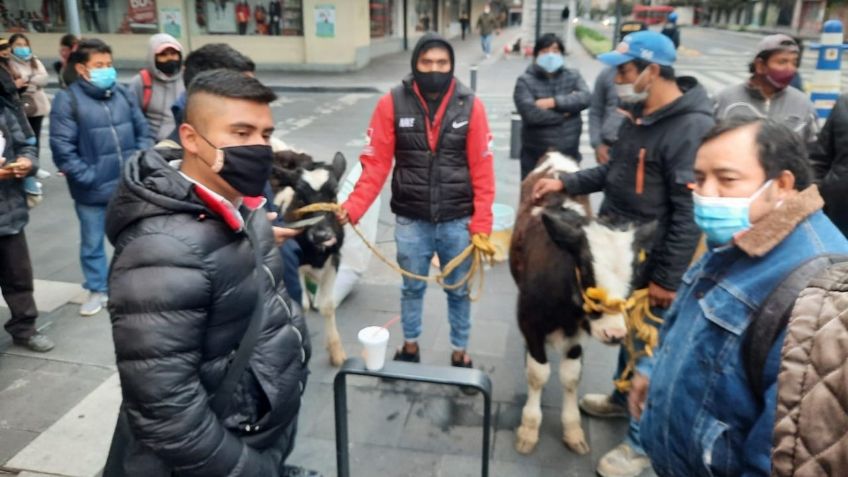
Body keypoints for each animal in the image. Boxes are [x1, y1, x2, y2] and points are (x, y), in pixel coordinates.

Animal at [274, 151, 350, 366]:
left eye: (334, 193)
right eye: (300, 196)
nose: (322, 235)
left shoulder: (334, 259)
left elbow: (327, 306)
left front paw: (336, 352)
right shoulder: (294, 265)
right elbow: (303, 305)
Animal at [510, 152, 656, 454]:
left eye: (636, 273)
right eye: (586, 269)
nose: (614, 333)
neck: (565, 310)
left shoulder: (580, 331)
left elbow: (570, 376)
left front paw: (573, 430)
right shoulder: (529, 322)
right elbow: (538, 373)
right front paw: (529, 428)